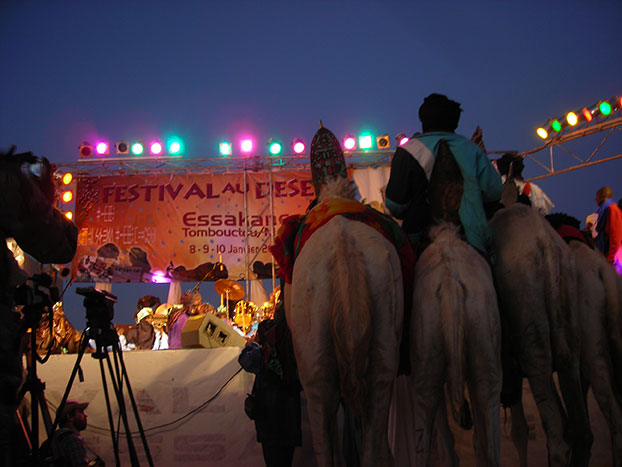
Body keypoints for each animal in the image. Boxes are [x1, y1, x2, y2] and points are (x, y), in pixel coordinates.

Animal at [492, 206, 596, 467]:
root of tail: (545, 243)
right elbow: (519, 430)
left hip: (531, 335)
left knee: (559, 435)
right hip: (567, 332)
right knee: (579, 429)